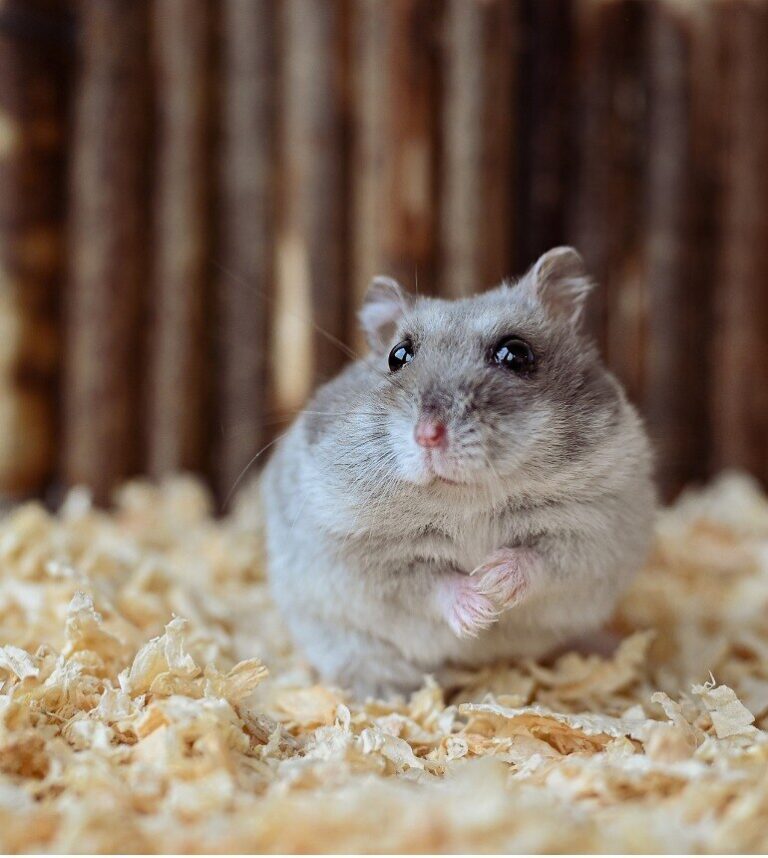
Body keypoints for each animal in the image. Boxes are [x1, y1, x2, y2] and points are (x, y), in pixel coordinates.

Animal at [261, 247, 655, 697]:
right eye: (398, 356)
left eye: (515, 354)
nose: (428, 435)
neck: (465, 499)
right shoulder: (368, 556)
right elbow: (429, 583)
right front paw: (479, 607)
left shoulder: (592, 529)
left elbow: (541, 559)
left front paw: (494, 580)